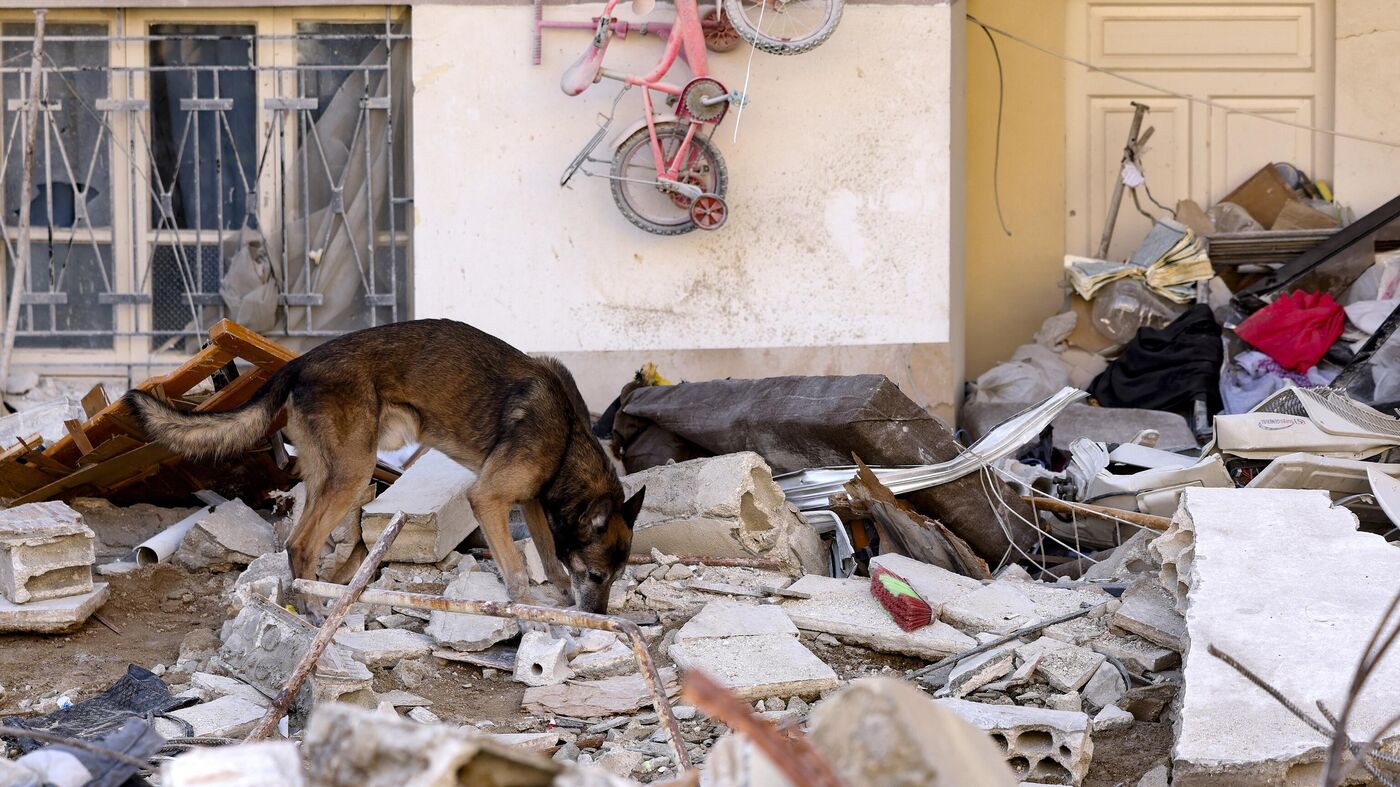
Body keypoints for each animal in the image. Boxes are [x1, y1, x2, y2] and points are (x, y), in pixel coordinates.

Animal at [123, 315, 641, 610]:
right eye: (598, 577)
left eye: (615, 579)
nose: (598, 616)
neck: (568, 437)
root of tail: (297, 364)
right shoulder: (489, 498)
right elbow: (516, 571)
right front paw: (536, 623)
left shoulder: (531, 501)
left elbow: (552, 560)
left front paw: (559, 603)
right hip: (353, 475)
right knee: (301, 545)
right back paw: (318, 612)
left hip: (328, 475)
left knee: (306, 544)